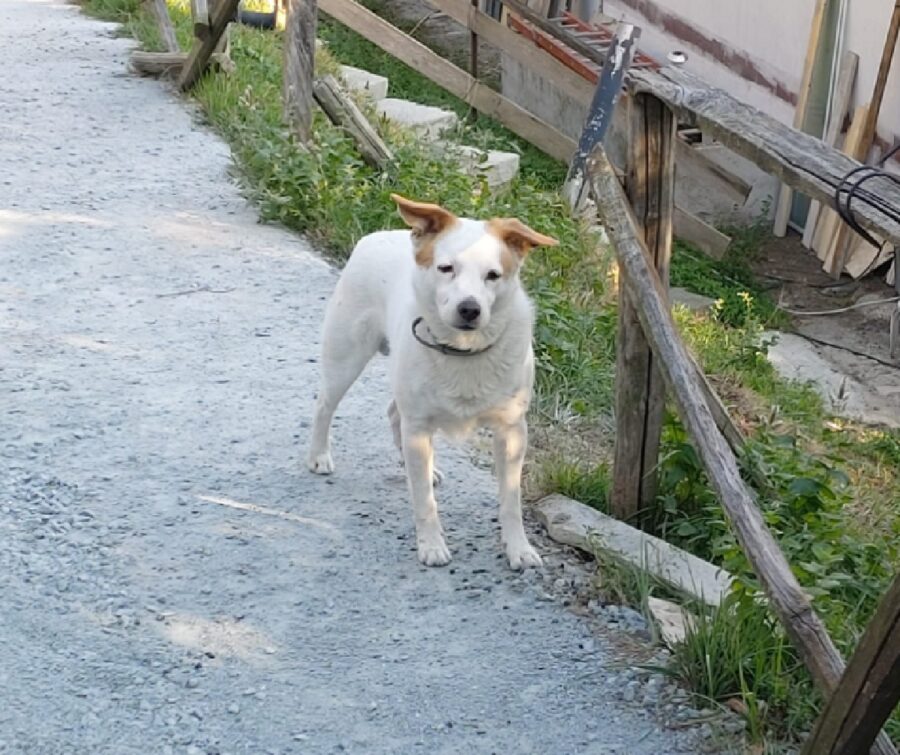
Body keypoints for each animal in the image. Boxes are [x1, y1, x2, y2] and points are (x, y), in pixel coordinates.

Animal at [308, 193, 556, 568]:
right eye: (446, 268)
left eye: (493, 275)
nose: (470, 309)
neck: (463, 351)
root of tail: (380, 235)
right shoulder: (419, 425)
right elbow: (424, 500)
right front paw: (431, 545)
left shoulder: (512, 430)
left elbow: (511, 501)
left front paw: (518, 547)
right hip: (346, 356)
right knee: (325, 405)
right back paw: (320, 455)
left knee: (394, 415)